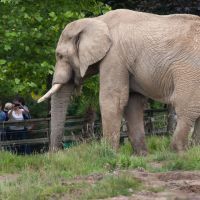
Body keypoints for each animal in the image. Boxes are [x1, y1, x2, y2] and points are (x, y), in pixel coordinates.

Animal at [37, 8, 200, 154]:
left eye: (60, 56)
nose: (56, 153)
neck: (97, 20)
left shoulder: (114, 55)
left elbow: (112, 99)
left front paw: (109, 154)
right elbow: (133, 101)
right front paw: (140, 155)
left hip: (190, 71)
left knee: (187, 109)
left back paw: (177, 151)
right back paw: (194, 150)